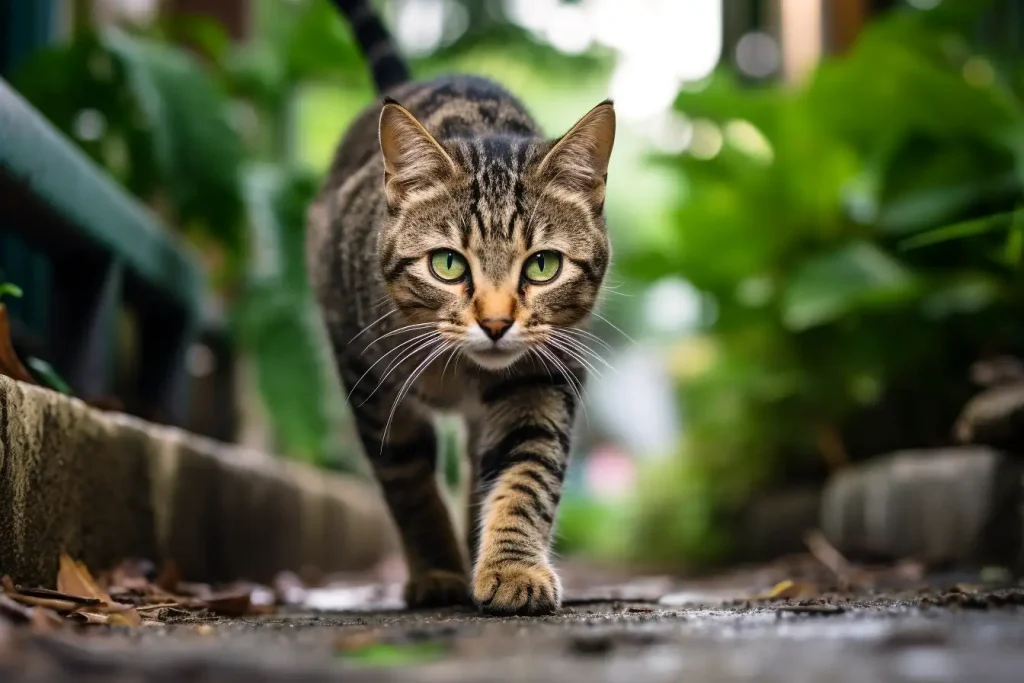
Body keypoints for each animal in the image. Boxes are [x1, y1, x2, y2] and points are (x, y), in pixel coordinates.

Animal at [305, 0, 614, 618]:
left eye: (543, 266)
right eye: (447, 264)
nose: (495, 323)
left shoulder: (543, 373)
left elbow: (524, 471)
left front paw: (511, 566)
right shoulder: (368, 381)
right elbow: (409, 484)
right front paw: (438, 571)